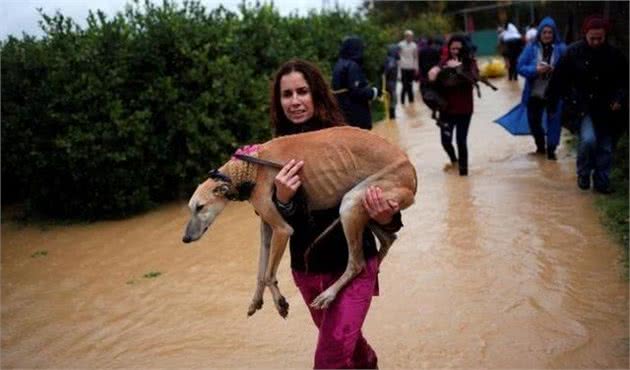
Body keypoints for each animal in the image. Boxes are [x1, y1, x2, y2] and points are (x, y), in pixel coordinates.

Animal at [184, 126, 420, 318]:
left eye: (200, 207)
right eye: (191, 208)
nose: (185, 238)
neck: (248, 169)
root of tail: (409, 166)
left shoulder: (282, 229)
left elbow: (269, 274)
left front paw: (280, 303)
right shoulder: (267, 228)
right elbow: (261, 270)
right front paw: (256, 300)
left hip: (352, 201)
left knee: (357, 263)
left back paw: (328, 294)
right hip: (366, 203)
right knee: (388, 237)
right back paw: (375, 265)